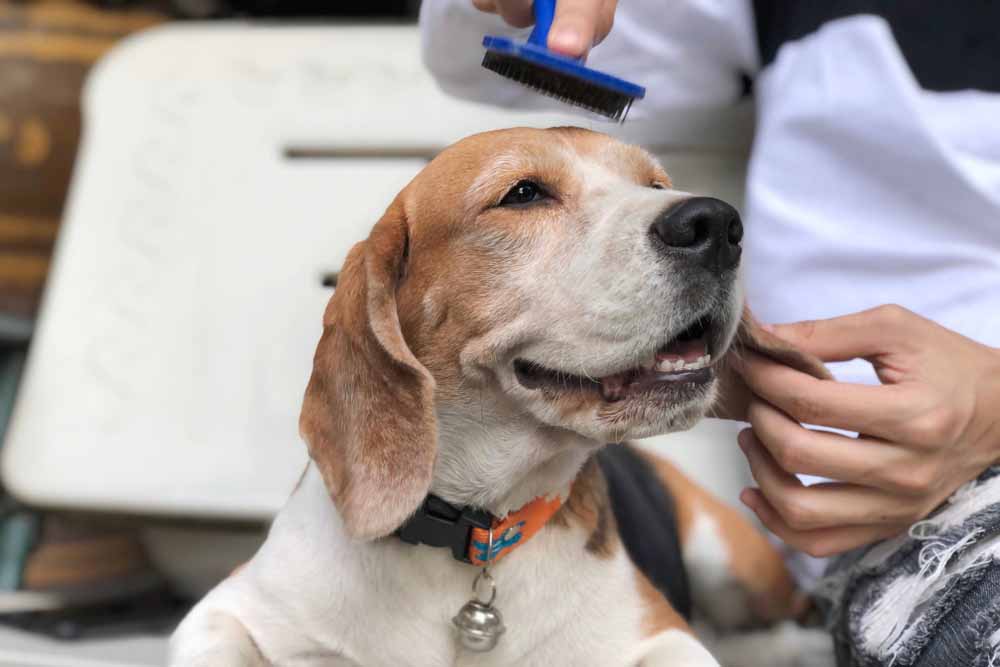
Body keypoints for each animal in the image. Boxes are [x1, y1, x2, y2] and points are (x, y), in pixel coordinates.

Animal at [168, 128, 832, 664]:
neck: (472, 534)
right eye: (523, 194)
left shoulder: (660, 634)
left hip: (731, 560)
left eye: (655, 184)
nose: (717, 224)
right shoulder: (228, 608)